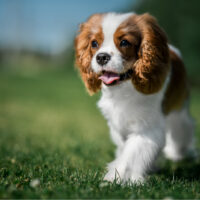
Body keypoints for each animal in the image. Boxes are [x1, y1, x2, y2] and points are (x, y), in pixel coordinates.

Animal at [74, 12, 195, 184]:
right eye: (94, 43)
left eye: (124, 42)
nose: (101, 57)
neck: (125, 88)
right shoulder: (117, 125)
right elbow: (126, 149)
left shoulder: (146, 128)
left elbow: (132, 154)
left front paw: (116, 178)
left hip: (179, 109)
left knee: (183, 127)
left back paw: (177, 153)